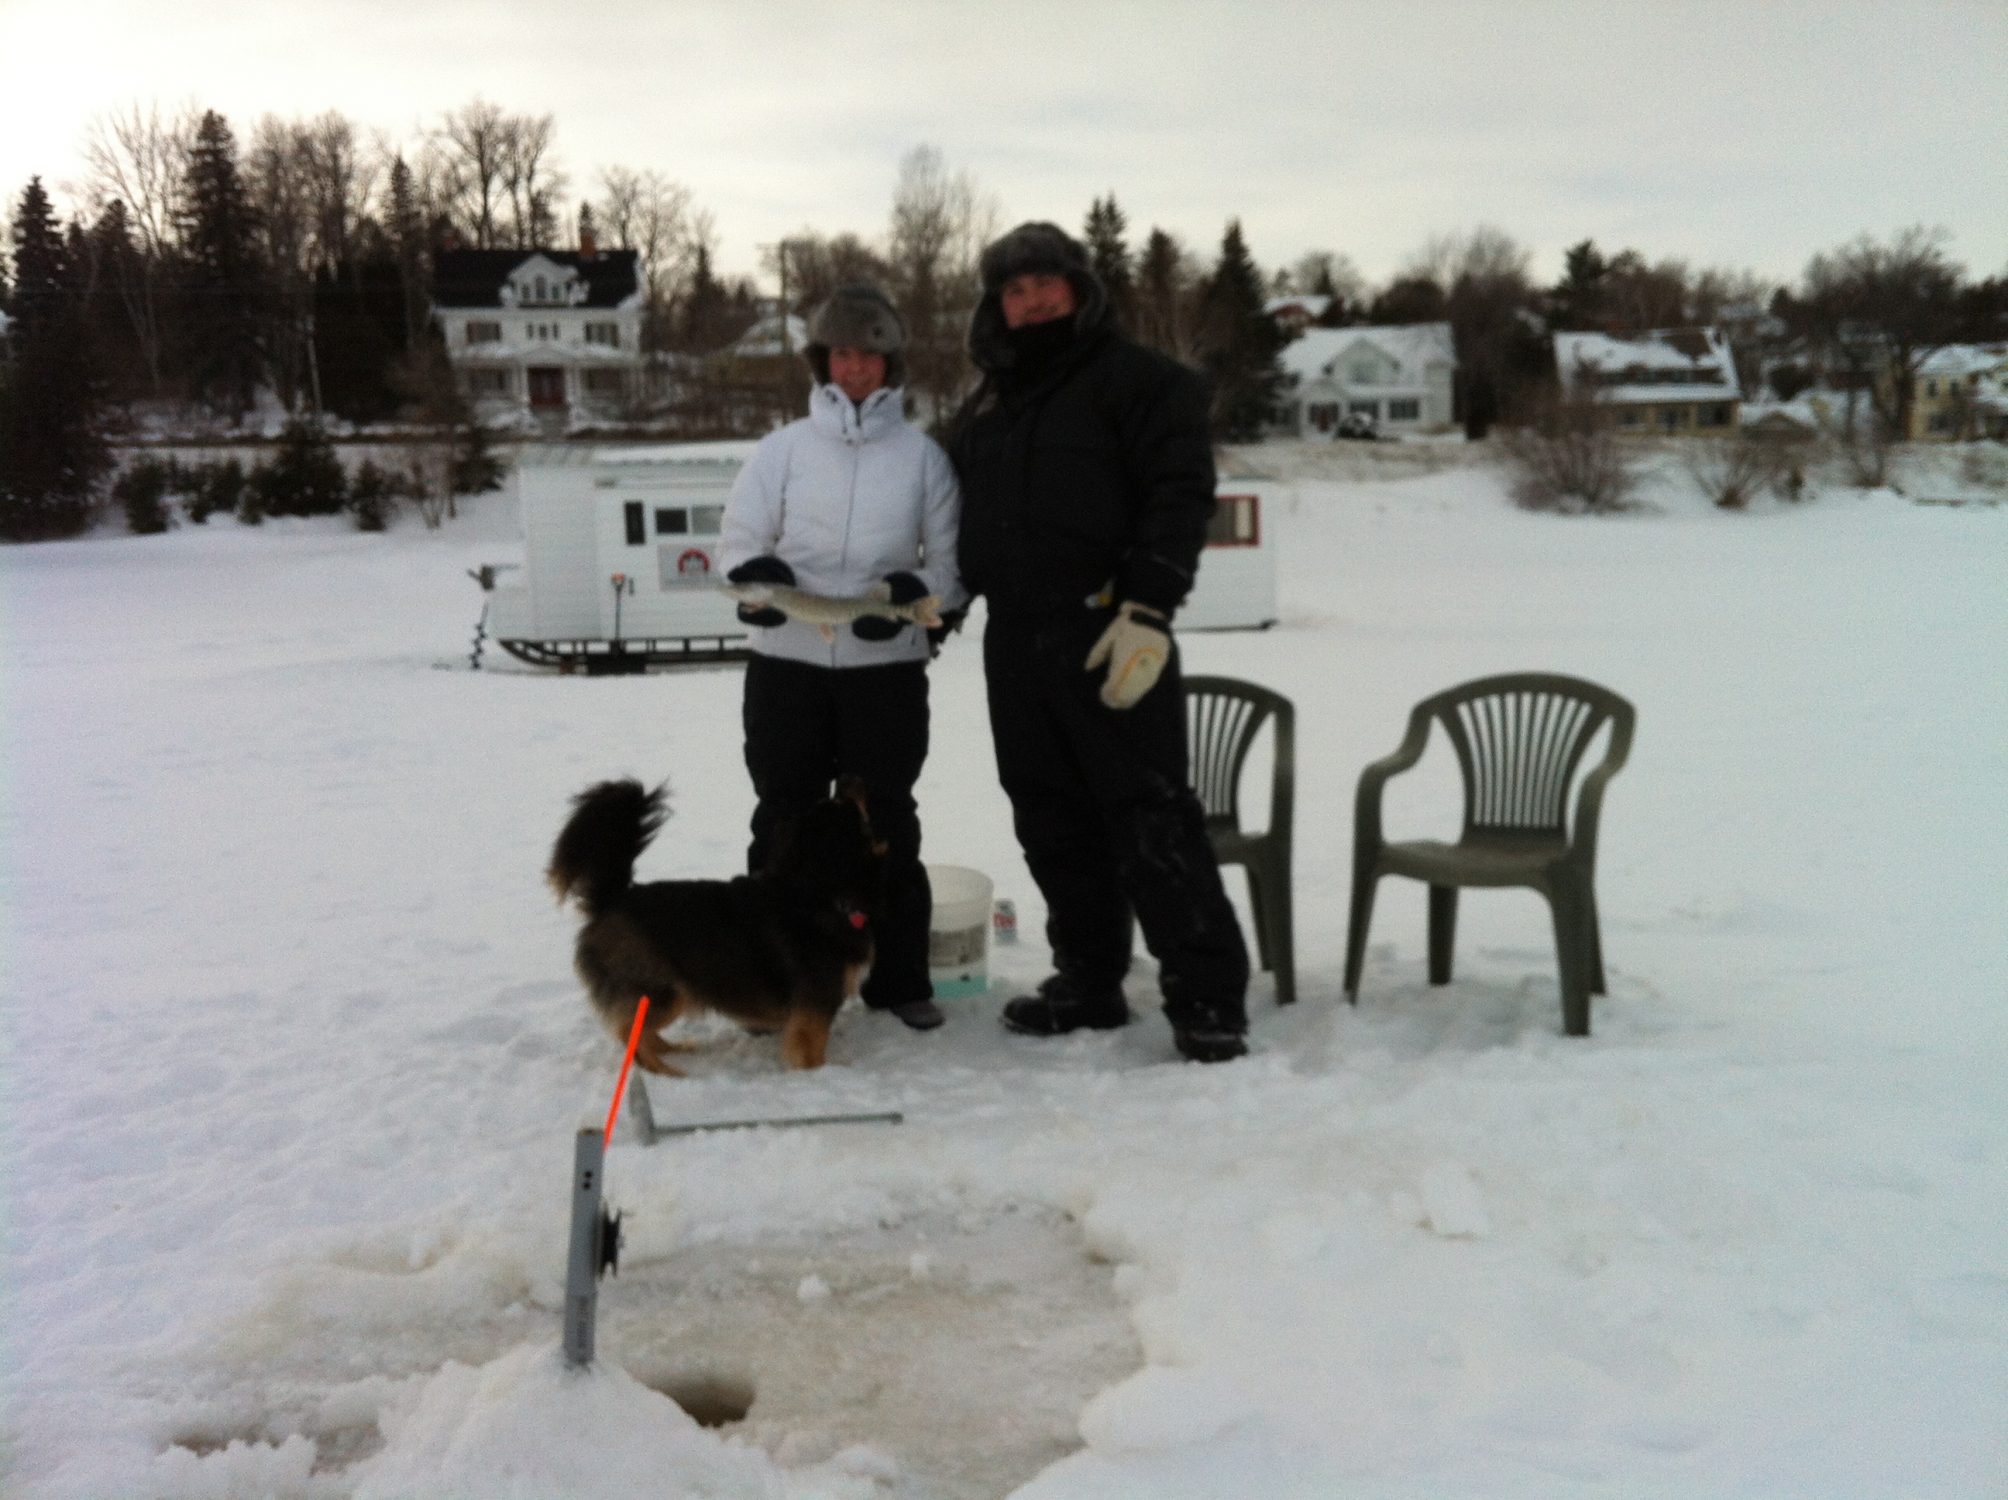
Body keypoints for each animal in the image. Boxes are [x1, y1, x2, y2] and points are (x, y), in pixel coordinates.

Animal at [558, 779, 887, 1076]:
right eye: (844, 804)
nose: (853, 779)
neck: (818, 890)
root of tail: (610, 900)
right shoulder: (814, 1004)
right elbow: (811, 1050)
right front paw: (818, 1074)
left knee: (641, 1032)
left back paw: (673, 1049)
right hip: (663, 991)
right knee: (628, 1031)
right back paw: (666, 1071)